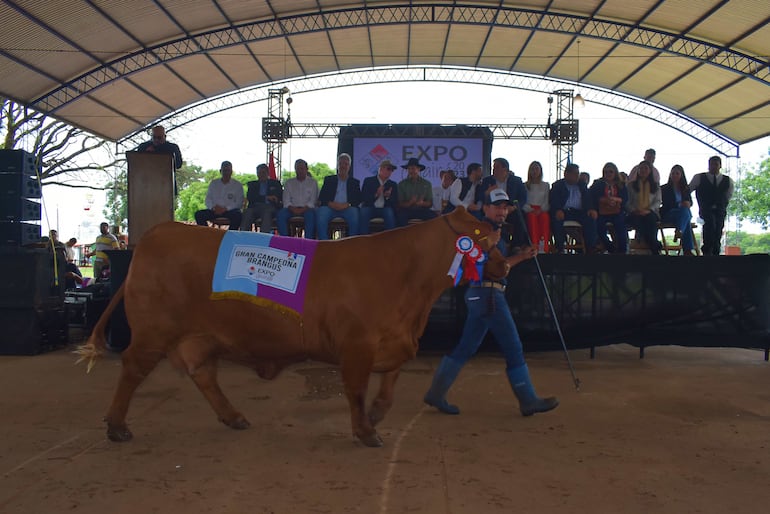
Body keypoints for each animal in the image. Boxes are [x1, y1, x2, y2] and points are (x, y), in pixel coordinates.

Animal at [78, 204, 508, 444]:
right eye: (483, 239)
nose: (504, 265)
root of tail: (159, 231)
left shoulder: (394, 341)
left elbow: (388, 388)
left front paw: (375, 416)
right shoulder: (358, 345)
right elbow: (356, 389)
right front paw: (365, 431)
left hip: (200, 336)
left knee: (203, 375)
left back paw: (233, 417)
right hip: (153, 331)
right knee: (133, 370)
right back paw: (116, 426)